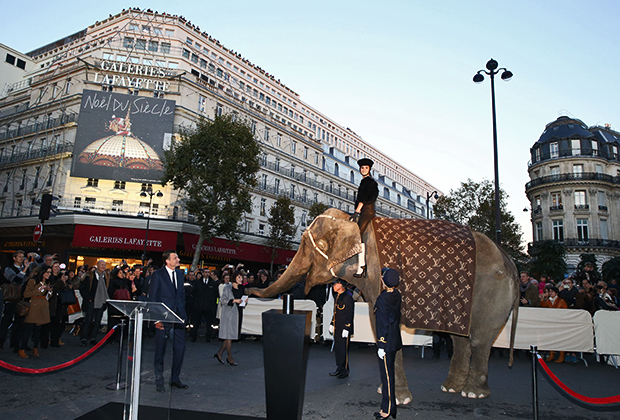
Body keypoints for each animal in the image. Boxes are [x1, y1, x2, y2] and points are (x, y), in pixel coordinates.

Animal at [249, 208, 520, 402]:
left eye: (313, 245)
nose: (251, 287)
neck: (354, 223)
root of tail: (509, 260)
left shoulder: (381, 277)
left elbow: (384, 324)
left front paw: (397, 399)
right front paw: (385, 391)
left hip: (493, 292)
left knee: (479, 340)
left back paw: (473, 393)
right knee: (460, 338)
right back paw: (451, 388)